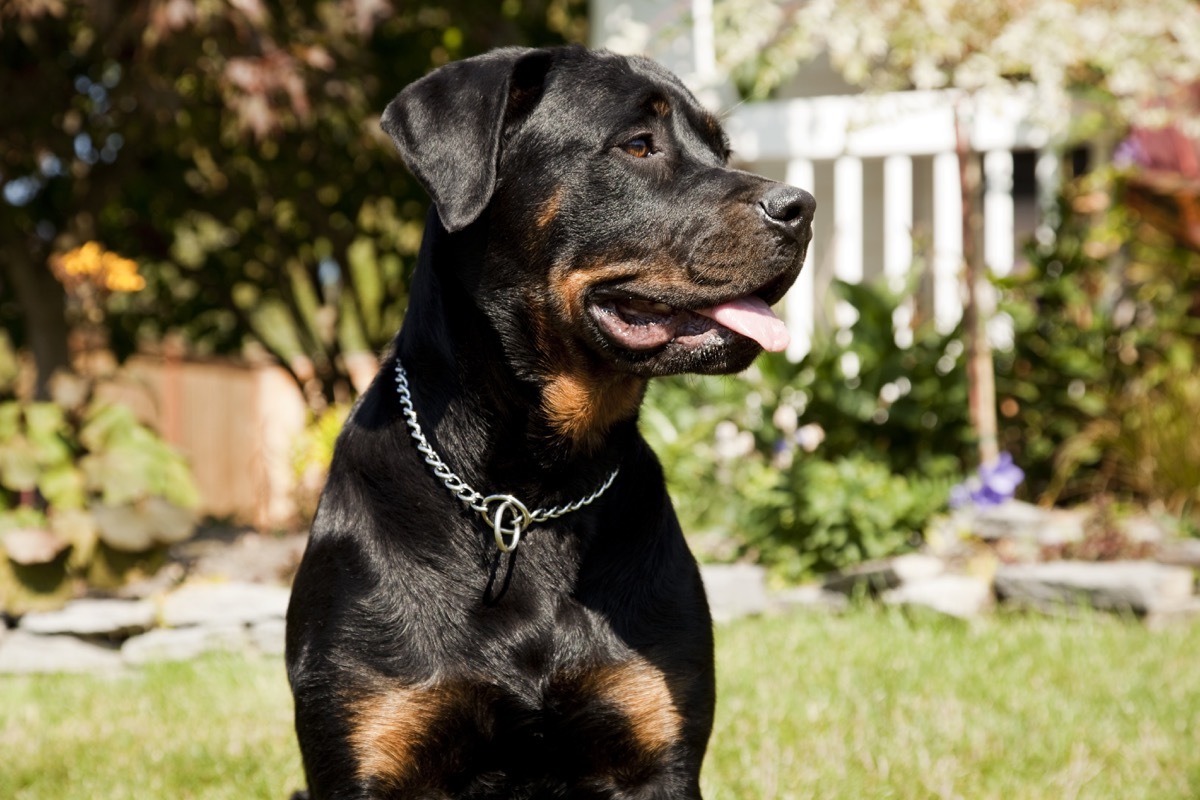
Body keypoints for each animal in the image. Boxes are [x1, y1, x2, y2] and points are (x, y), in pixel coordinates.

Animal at [288, 45, 816, 800]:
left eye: (722, 150)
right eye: (638, 145)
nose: (802, 207)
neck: (526, 497)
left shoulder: (657, 754)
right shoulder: (368, 754)